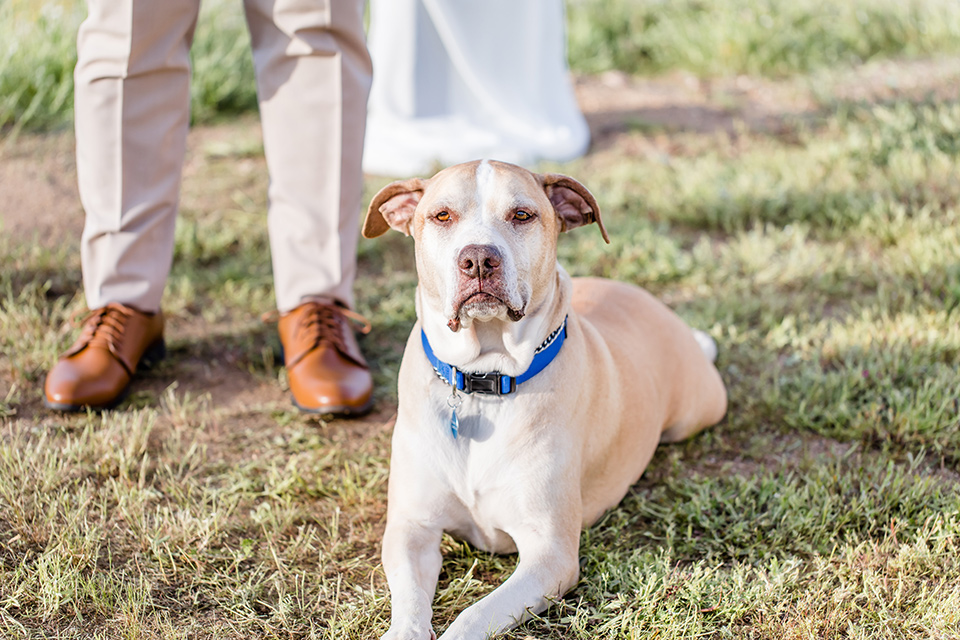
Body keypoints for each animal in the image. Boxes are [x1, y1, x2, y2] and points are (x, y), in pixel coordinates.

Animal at [364, 160, 724, 640]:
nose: (478, 259)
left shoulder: (549, 554)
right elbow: (408, 605)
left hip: (695, 413)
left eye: (522, 215)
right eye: (442, 215)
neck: (484, 382)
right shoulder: (411, 530)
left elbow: (474, 615)